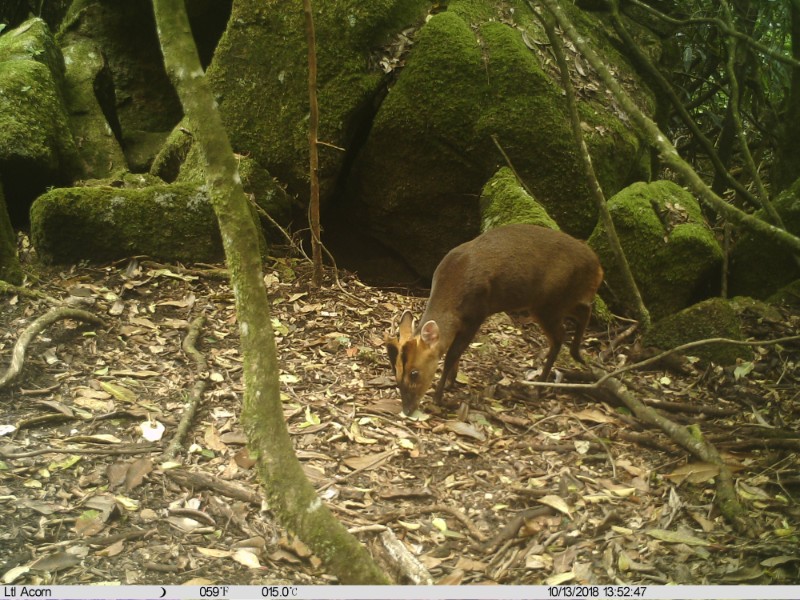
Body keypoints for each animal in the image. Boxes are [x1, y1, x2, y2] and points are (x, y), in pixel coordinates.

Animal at [384, 223, 604, 414]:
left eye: (414, 373)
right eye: (396, 372)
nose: (407, 409)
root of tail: (597, 265)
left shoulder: (477, 314)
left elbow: (452, 354)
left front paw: (439, 396)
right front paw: (451, 382)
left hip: (549, 302)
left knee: (561, 335)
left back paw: (540, 386)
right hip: (556, 301)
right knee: (583, 311)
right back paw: (577, 356)